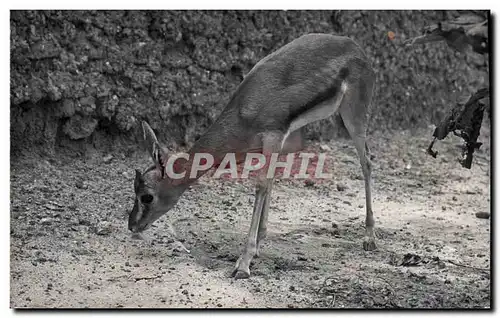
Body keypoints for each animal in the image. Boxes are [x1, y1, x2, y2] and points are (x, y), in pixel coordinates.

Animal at [129, 33, 376, 280]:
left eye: (146, 196)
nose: (132, 225)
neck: (244, 111)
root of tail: (356, 47)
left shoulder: (273, 136)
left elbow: (261, 185)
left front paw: (243, 264)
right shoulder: (278, 142)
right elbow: (270, 182)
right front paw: (257, 246)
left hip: (353, 115)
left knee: (366, 162)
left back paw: (369, 238)